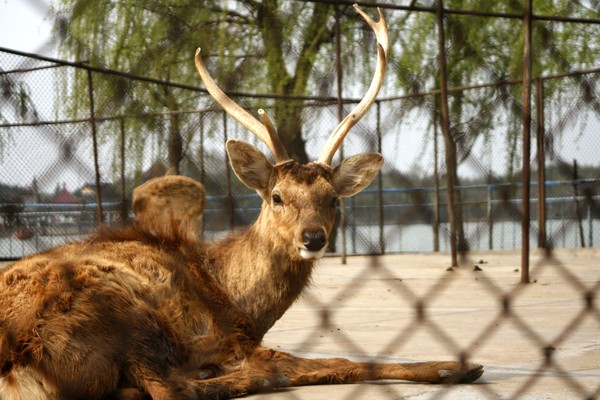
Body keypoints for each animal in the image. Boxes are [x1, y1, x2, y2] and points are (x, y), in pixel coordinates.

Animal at [0, 6, 482, 400]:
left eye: (332, 199)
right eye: (277, 196)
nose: (313, 238)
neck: (235, 295)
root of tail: (17, 358)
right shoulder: (229, 335)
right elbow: (342, 360)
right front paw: (457, 366)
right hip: (122, 310)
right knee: (175, 388)